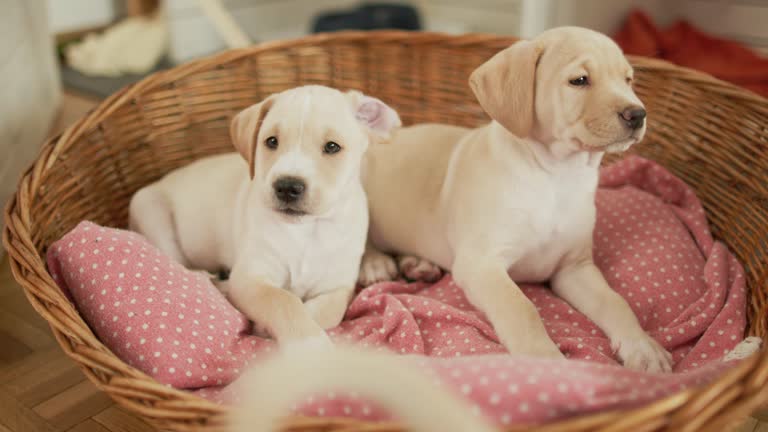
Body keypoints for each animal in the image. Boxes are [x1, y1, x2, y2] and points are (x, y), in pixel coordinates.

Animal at [130, 84, 402, 348]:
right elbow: (283, 300)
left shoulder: (338, 287)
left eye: (332, 147)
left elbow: (328, 312)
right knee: (180, 265)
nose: (287, 186)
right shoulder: (250, 278)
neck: (307, 232)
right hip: (148, 209)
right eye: (271, 142)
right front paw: (312, 346)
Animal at [358, 27, 672, 372]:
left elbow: (616, 302)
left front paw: (642, 346)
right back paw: (374, 263)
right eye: (579, 80)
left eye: (628, 80)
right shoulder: (481, 264)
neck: (556, 177)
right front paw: (545, 361)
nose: (638, 114)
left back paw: (418, 264)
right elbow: (521, 308)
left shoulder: (574, 268)